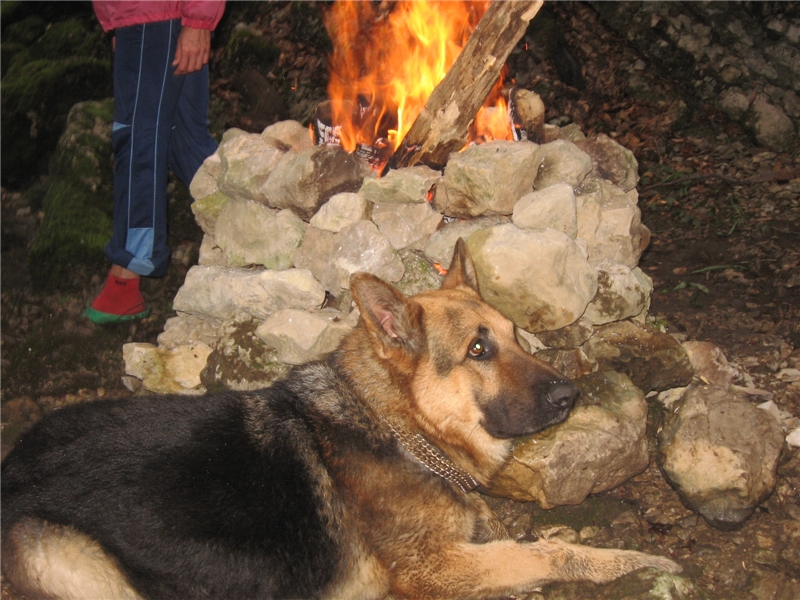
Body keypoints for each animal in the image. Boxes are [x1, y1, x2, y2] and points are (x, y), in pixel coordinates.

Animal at [2, 239, 681, 599]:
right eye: (478, 350)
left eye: (516, 336)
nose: (571, 393)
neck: (398, 429)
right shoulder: (435, 570)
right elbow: (543, 555)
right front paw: (627, 562)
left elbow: (525, 540)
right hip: (63, 554)